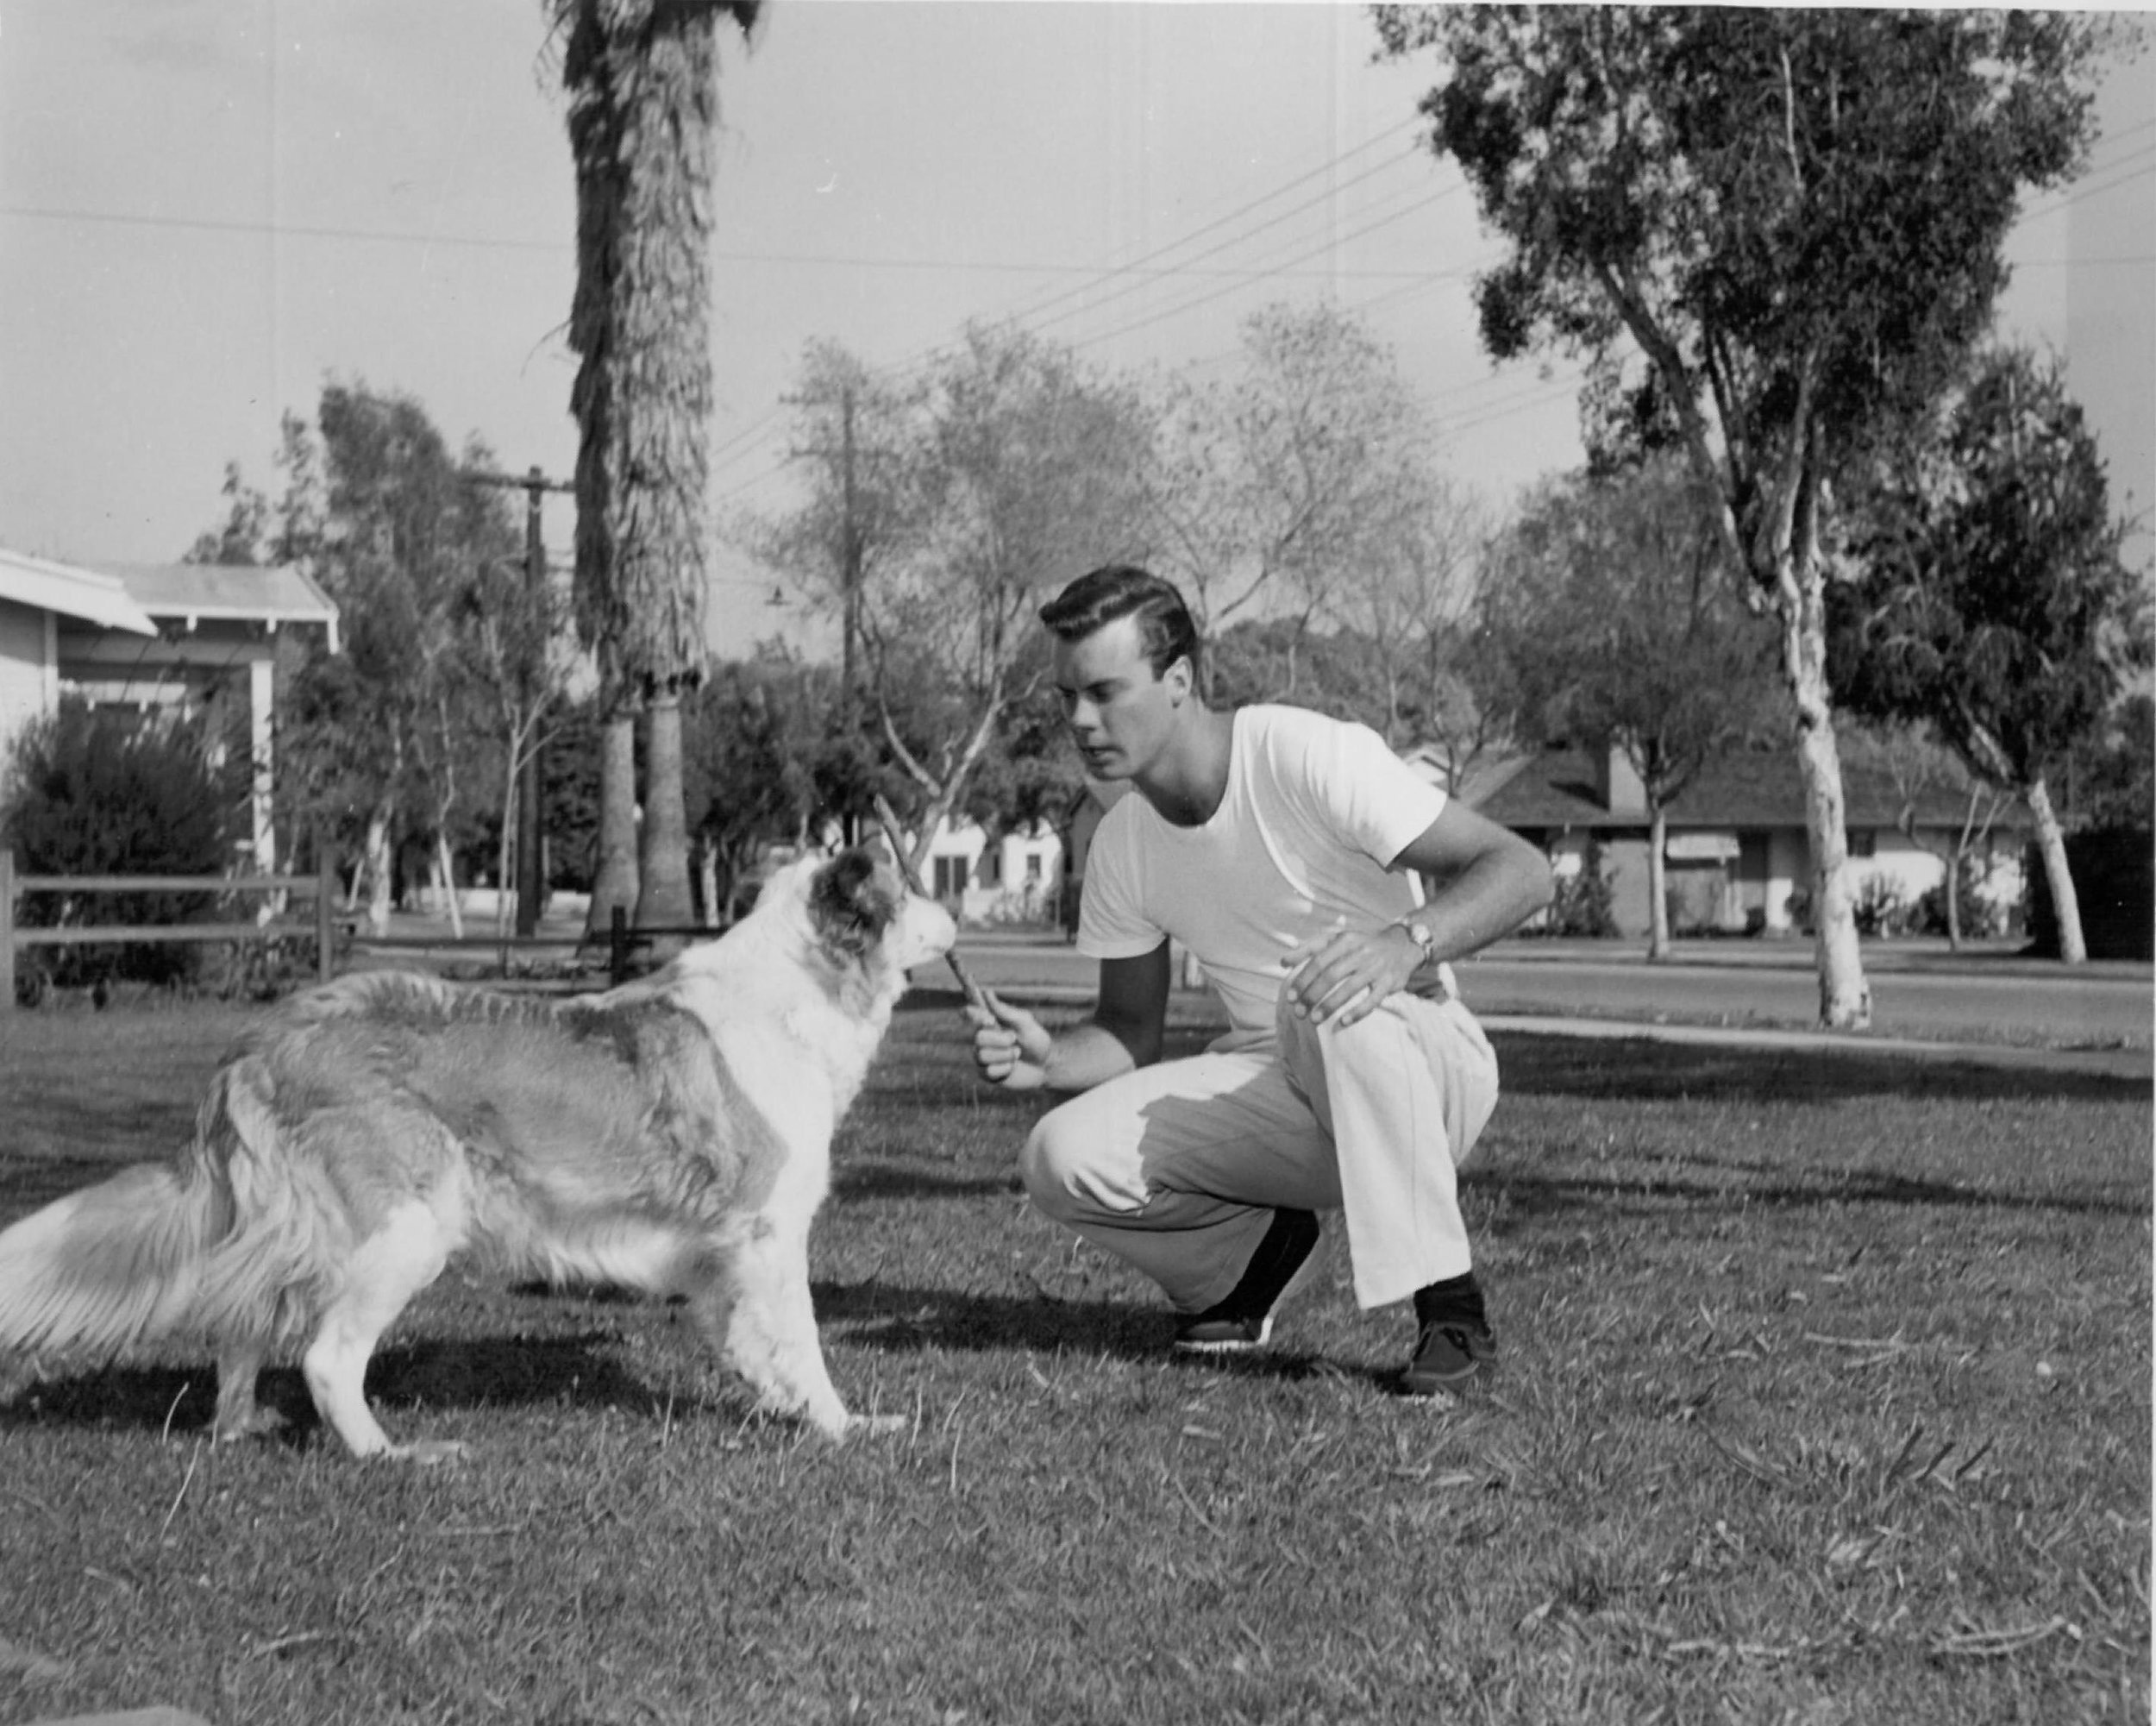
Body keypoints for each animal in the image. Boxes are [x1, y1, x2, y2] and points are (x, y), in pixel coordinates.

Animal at [0, 850, 953, 1458]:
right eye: (908, 882)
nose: (954, 913)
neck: (795, 986)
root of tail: (265, 1040)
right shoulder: (768, 1232)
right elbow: (802, 1338)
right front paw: (840, 1426)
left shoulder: (720, 1251)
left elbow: (750, 1340)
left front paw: (787, 1408)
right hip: (409, 1225)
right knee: (325, 1357)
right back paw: (392, 1454)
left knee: (242, 1325)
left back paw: (241, 1426)